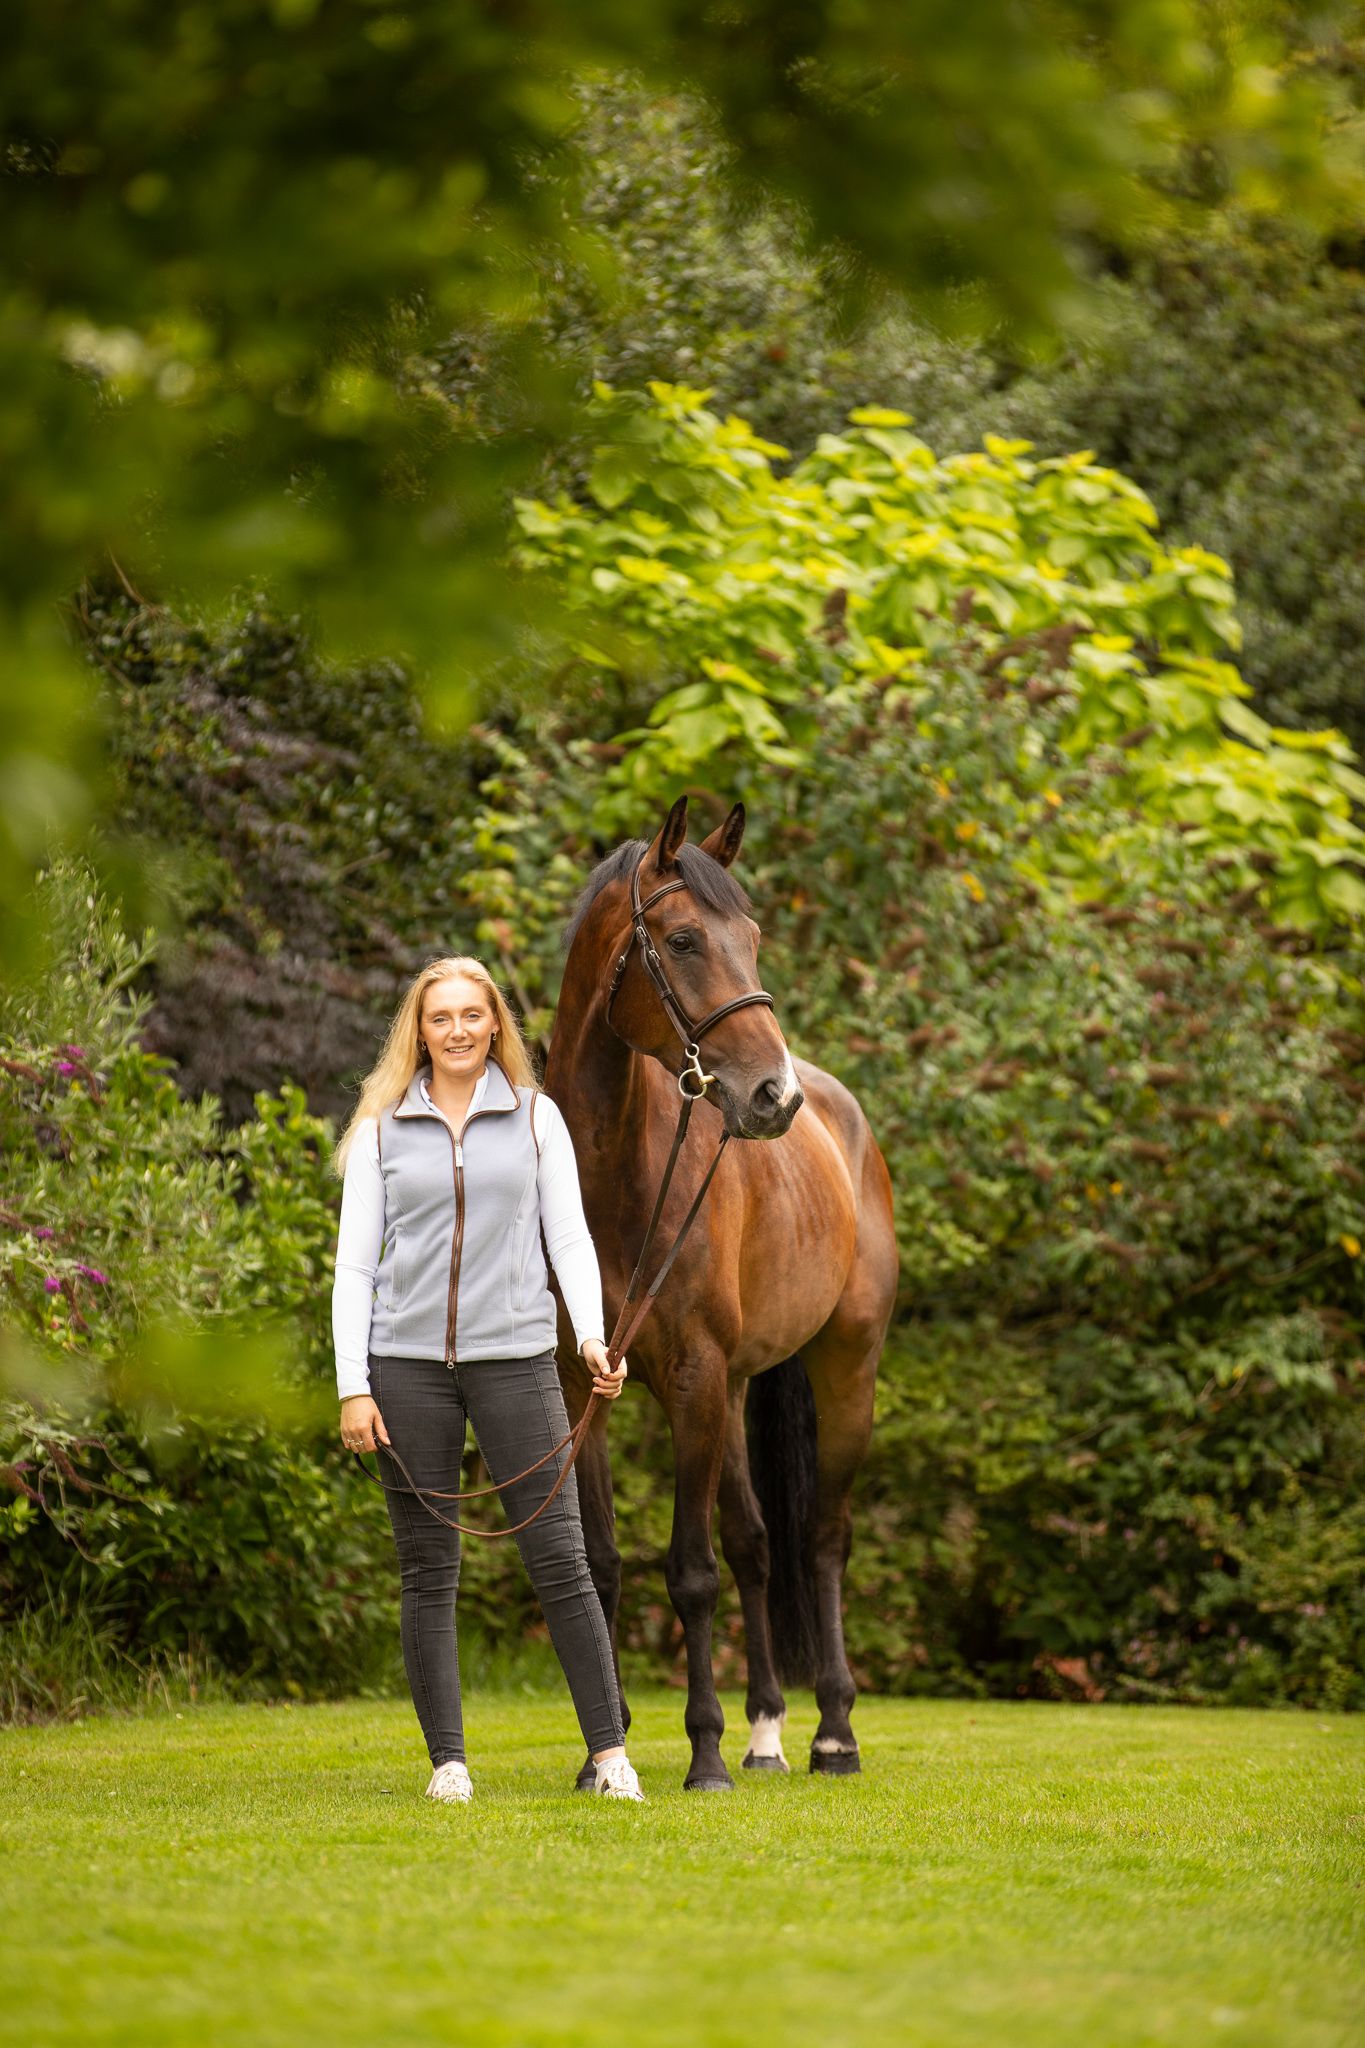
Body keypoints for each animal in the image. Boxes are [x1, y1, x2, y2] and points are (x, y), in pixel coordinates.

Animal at [545, 794, 898, 1790]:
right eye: (683, 939)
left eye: (753, 936)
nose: (770, 1096)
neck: (610, 1179)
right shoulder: (580, 1384)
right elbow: (606, 1561)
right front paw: (604, 1752)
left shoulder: (693, 1378)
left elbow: (690, 1572)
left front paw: (701, 1753)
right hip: (737, 1389)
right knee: (756, 1543)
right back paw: (767, 1733)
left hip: (842, 1372)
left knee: (818, 1538)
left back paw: (830, 1735)